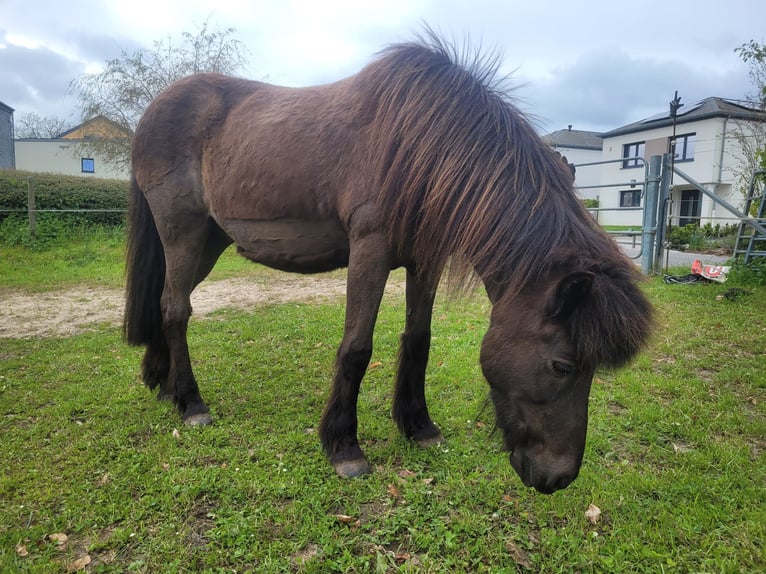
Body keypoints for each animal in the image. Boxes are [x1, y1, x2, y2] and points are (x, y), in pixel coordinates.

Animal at [126, 33, 656, 496]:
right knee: (175, 309)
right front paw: (344, 447)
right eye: (563, 365)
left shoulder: (426, 259)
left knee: (165, 301)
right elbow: (357, 348)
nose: (558, 478)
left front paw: (418, 425)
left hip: (207, 244)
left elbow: (419, 339)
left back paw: (163, 383)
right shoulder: (370, 250)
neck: (424, 146)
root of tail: (154, 110)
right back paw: (192, 403)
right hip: (183, 232)